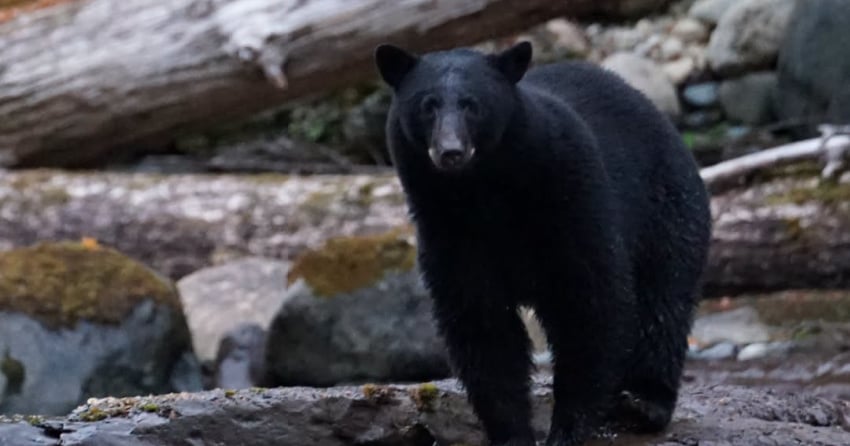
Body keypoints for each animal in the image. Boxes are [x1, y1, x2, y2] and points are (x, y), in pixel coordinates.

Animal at [374, 41, 712, 446]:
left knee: (663, 301)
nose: (450, 151)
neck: (483, 194)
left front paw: (569, 427)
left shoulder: (570, 198)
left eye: (473, 104)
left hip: (667, 210)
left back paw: (644, 401)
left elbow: (589, 302)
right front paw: (512, 432)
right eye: (428, 105)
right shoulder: (449, 233)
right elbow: (480, 323)